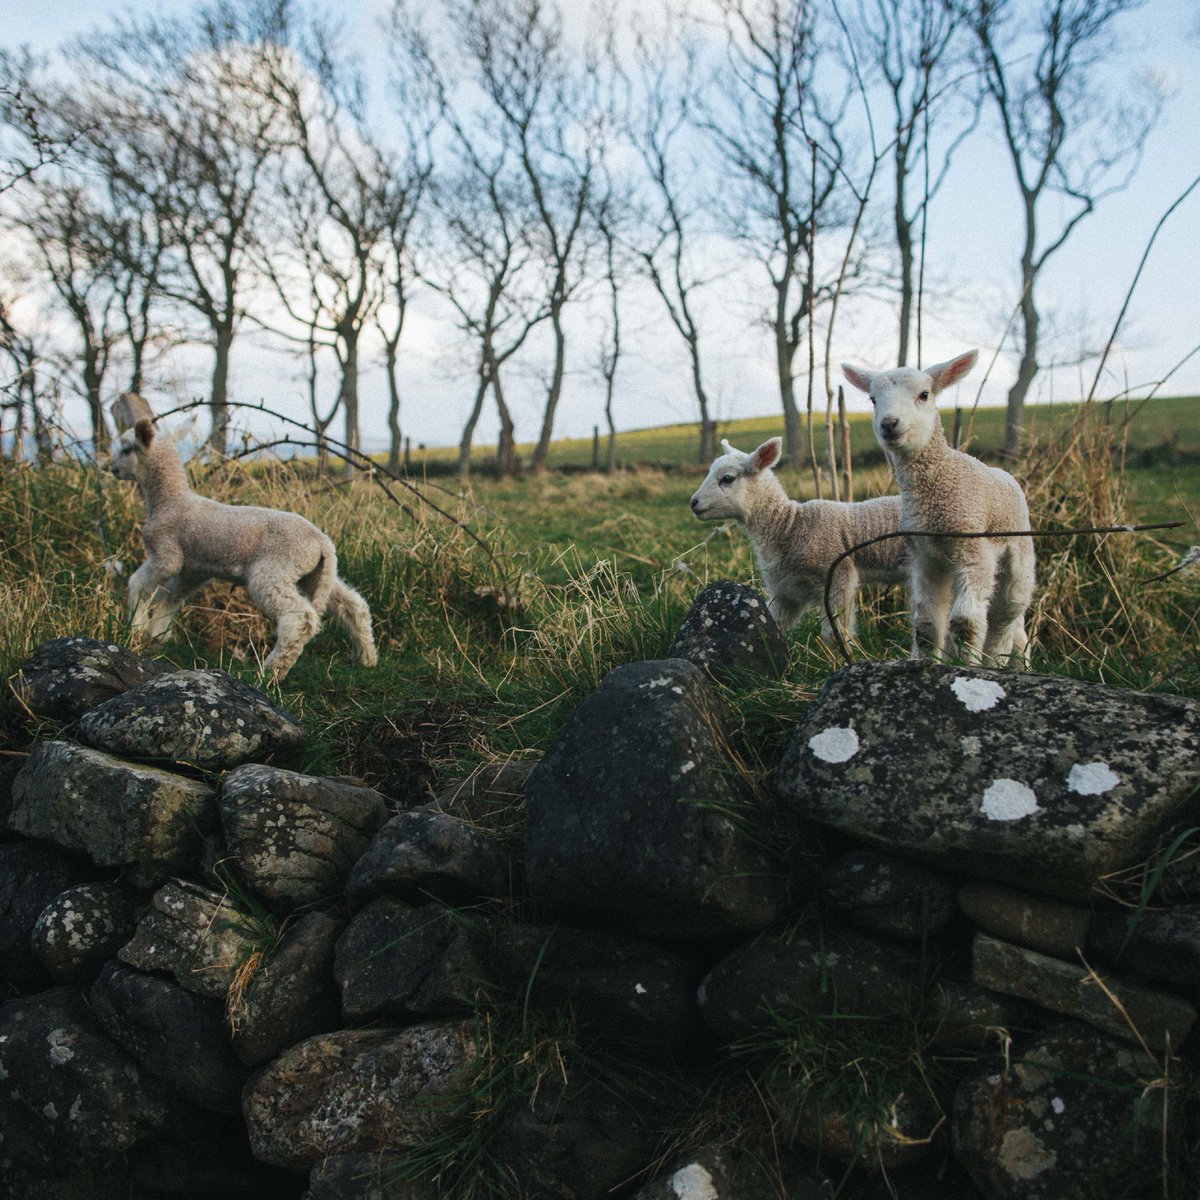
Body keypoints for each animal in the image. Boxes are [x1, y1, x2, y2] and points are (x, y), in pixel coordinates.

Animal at [108, 394, 377, 682]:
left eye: (127, 449)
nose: (112, 469)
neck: (170, 500)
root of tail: (322, 542)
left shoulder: (166, 554)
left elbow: (138, 583)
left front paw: (134, 627)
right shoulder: (195, 568)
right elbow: (169, 597)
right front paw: (158, 634)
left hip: (272, 570)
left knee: (300, 617)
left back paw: (270, 673)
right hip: (318, 573)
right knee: (354, 605)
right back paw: (367, 659)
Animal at [689, 436, 907, 642]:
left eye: (727, 478)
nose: (693, 503)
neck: (790, 525)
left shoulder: (839, 576)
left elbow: (834, 634)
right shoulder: (786, 592)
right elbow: (772, 627)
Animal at [841, 350, 1034, 666]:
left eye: (924, 395)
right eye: (872, 399)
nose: (889, 424)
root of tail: (1004, 473)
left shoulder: (974, 552)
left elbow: (965, 623)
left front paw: (968, 666)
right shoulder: (926, 558)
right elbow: (927, 626)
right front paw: (929, 662)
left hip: (1018, 556)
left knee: (1005, 615)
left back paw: (996, 661)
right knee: (1015, 626)